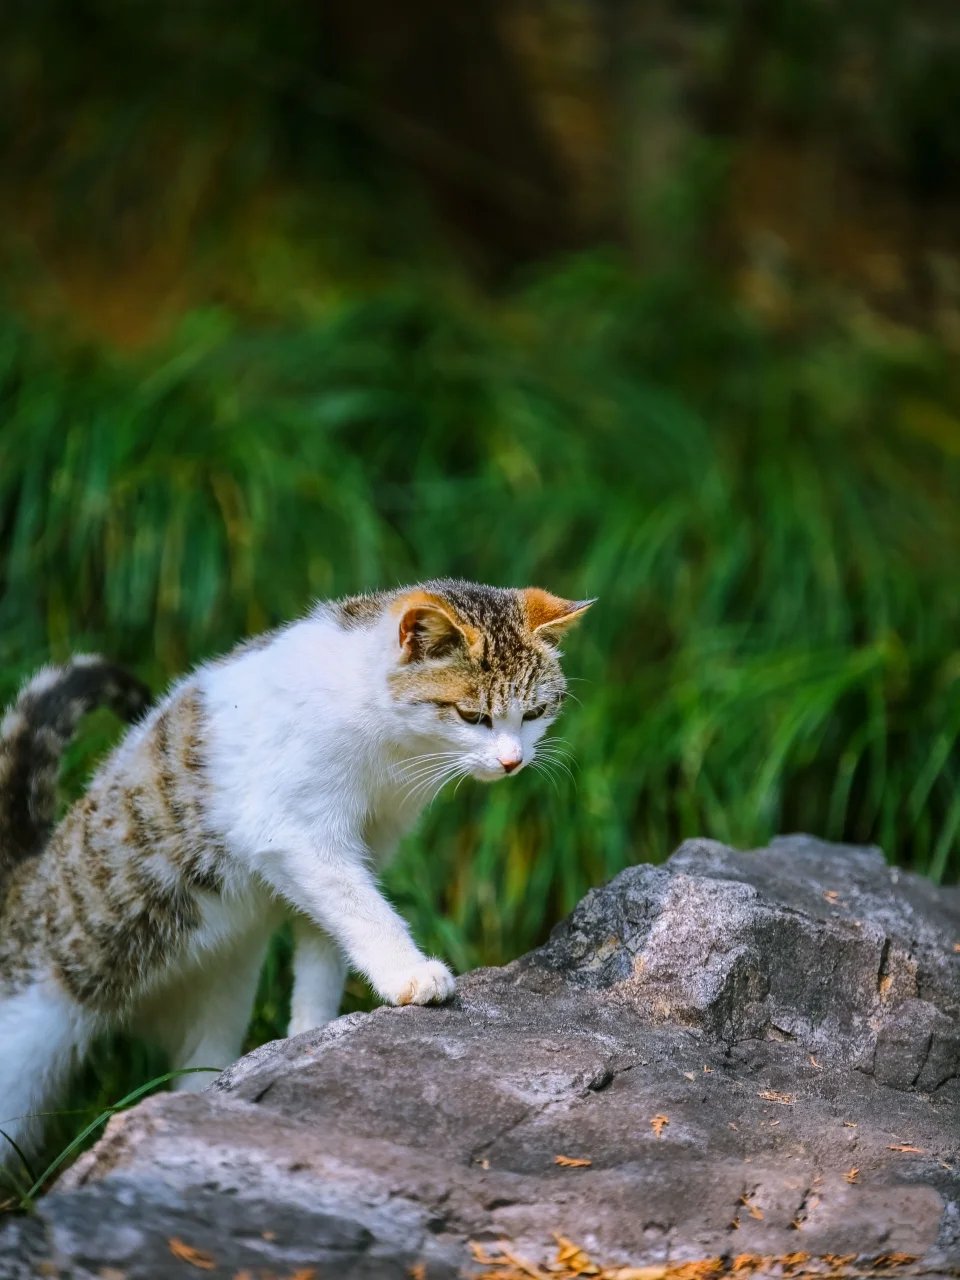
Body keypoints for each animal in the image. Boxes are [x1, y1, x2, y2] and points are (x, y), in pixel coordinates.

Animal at [0, 581, 593, 1162]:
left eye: (536, 712)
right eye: (473, 716)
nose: (513, 761)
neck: (389, 747)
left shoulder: (365, 843)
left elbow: (328, 939)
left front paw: (313, 1030)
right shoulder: (294, 832)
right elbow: (361, 908)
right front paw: (411, 974)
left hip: (221, 993)